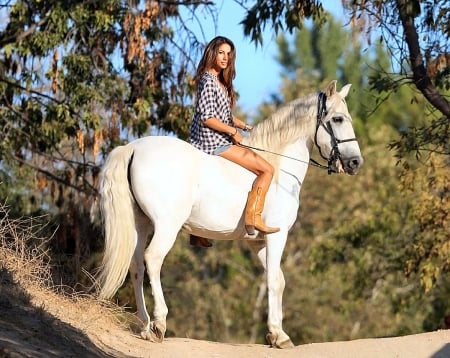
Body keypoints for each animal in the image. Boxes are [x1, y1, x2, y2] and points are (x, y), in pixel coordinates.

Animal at [96, 80, 364, 346]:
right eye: (338, 119)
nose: (355, 163)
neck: (278, 168)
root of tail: (133, 148)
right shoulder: (277, 235)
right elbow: (274, 280)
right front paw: (278, 335)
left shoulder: (258, 242)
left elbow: (277, 279)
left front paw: (277, 333)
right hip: (166, 225)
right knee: (152, 259)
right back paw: (158, 324)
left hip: (139, 225)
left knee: (136, 267)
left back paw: (144, 325)